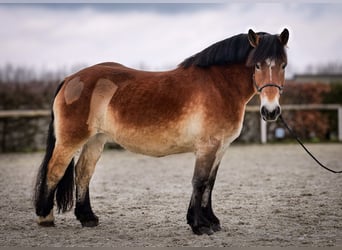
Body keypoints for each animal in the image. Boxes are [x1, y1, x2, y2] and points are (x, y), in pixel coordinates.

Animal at [34, 28, 288, 235]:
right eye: (257, 65)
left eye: (283, 65)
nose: (271, 111)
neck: (219, 86)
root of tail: (70, 79)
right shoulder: (207, 147)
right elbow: (199, 181)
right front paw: (200, 225)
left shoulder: (221, 148)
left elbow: (210, 183)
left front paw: (211, 221)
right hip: (70, 140)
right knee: (55, 170)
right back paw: (45, 217)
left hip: (96, 140)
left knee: (83, 172)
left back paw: (88, 218)